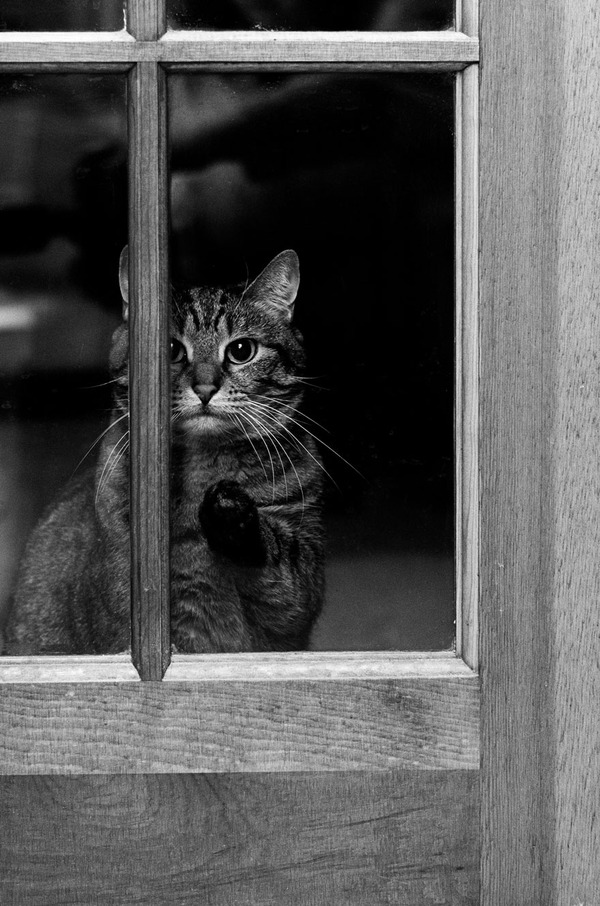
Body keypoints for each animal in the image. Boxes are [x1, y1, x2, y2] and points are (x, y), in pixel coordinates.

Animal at [3, 251, 324, 652]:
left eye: (241, 351)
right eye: (171, 350)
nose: (205, 387)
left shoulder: (298, 595)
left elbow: (280, 562)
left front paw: (230, 512)